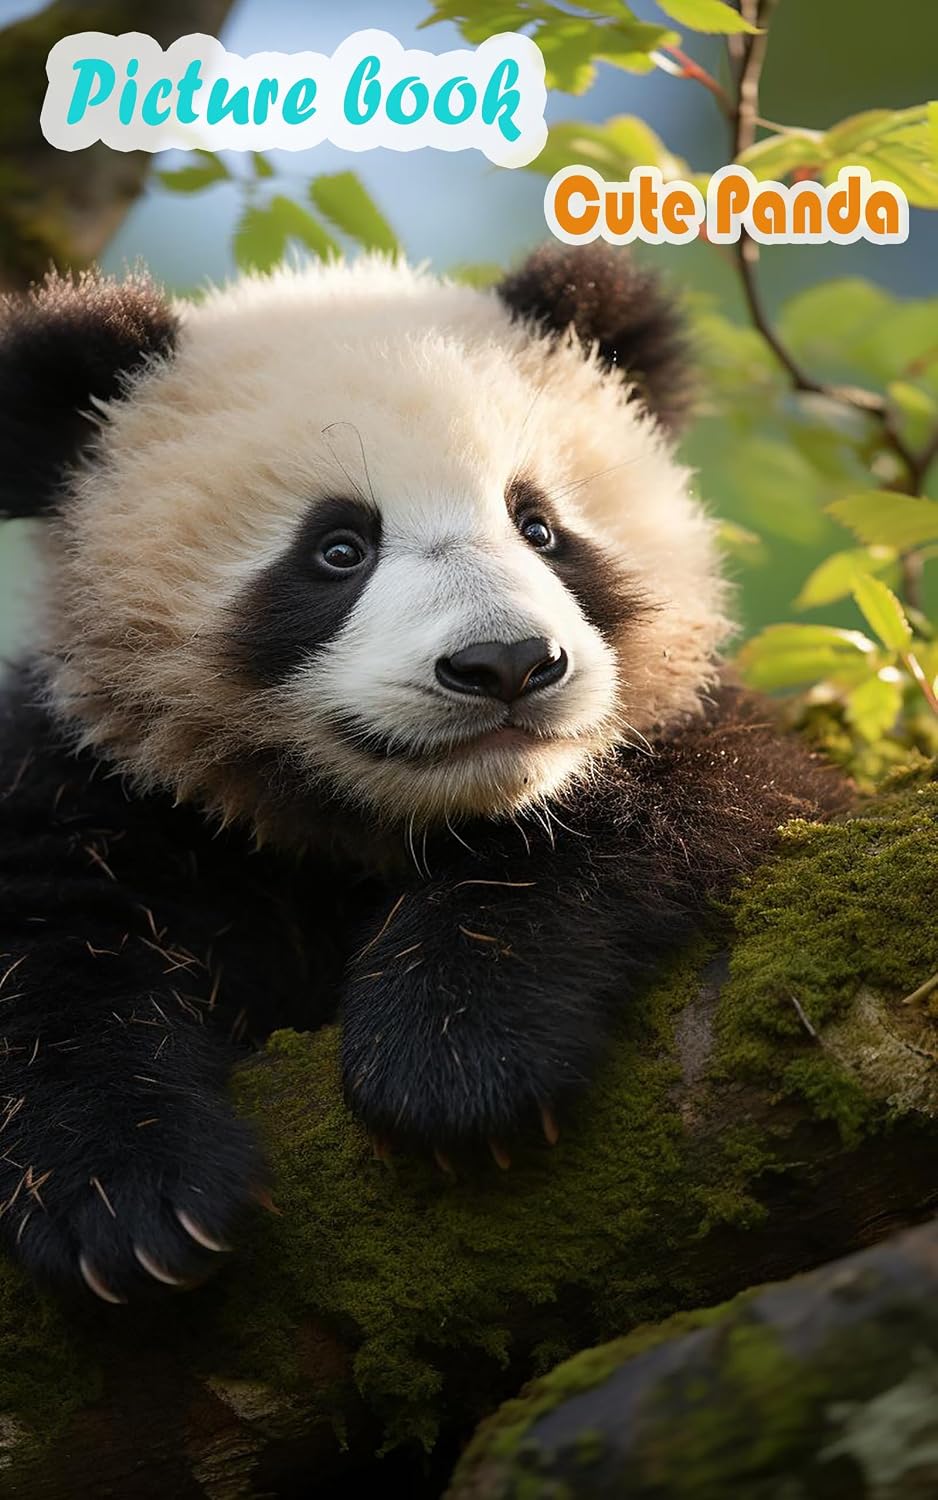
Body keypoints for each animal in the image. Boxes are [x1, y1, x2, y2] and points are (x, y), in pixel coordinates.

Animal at [0, 244, 842, 1303]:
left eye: (540, 527)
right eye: (338, 549)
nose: (506, 665)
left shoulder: (708, 741)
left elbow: (691, 802)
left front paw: (455, 1057)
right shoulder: (99, 785)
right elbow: (53, 952)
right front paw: (127, 1200)